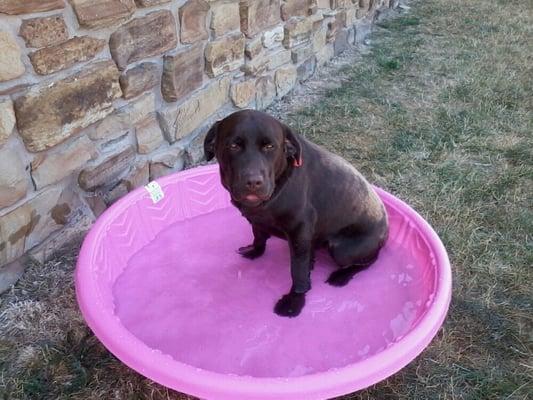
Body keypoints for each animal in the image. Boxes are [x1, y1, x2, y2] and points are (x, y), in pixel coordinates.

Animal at [204, 109, 386, 316]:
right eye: (234, 145)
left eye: (269, 146)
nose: (253, 182)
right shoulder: (257, 220)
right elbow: (259, 237)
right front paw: (255, 251)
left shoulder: (299, 230)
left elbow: (298, 271)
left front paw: (295, 300)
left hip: (342, 250)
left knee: (369, 260)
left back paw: (341, 275)